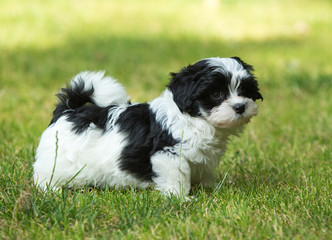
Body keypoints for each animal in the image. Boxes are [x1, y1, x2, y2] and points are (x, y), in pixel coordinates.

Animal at [33, 56, 262, 197]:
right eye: (216, 93)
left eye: (244, 90)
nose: (240, 106)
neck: (193, 118)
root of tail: (67, 109)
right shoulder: (169, 153)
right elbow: (177, 177)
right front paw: (180, 198)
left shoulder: (202, 157)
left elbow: (203, 172)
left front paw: (211, 188)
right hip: (58, 158)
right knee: (45, 174)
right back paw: (52, 190)